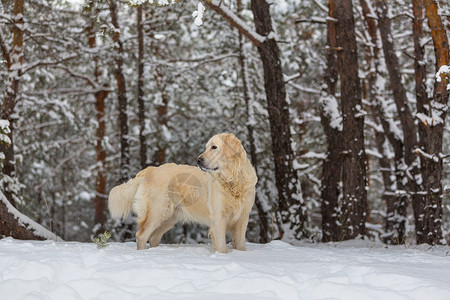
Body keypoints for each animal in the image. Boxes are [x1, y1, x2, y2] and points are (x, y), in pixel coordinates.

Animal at [107, 134, 258, 253]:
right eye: (206, 147)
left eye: (214, 147)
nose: (198, 160)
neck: (233, 180)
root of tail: (151, 169)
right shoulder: (219, 218)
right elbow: (221, 246)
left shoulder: (243, 218)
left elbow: (240, 244)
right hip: (157, 212)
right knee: (141, 235)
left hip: (169, 217)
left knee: (153, 237)